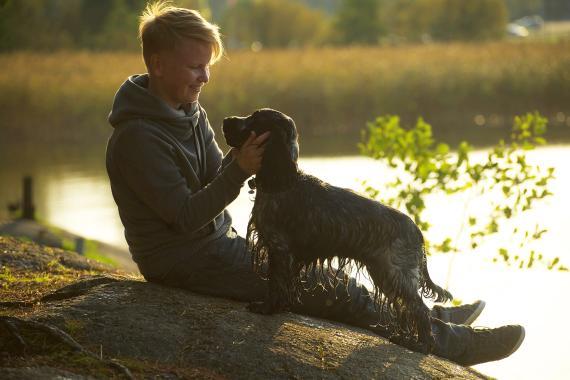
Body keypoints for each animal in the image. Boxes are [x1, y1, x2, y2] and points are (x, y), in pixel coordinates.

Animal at [220, 107, 450, 350]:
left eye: (256, 118)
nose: (226, 120)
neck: (282, 181)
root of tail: (416, 230)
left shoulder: (279, 247)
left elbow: (276, 283)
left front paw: (266, 308)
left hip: (396, 272)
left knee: (419, 309)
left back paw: (422, 345)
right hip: (384, 273)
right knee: (407, 308)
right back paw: (405, 339)